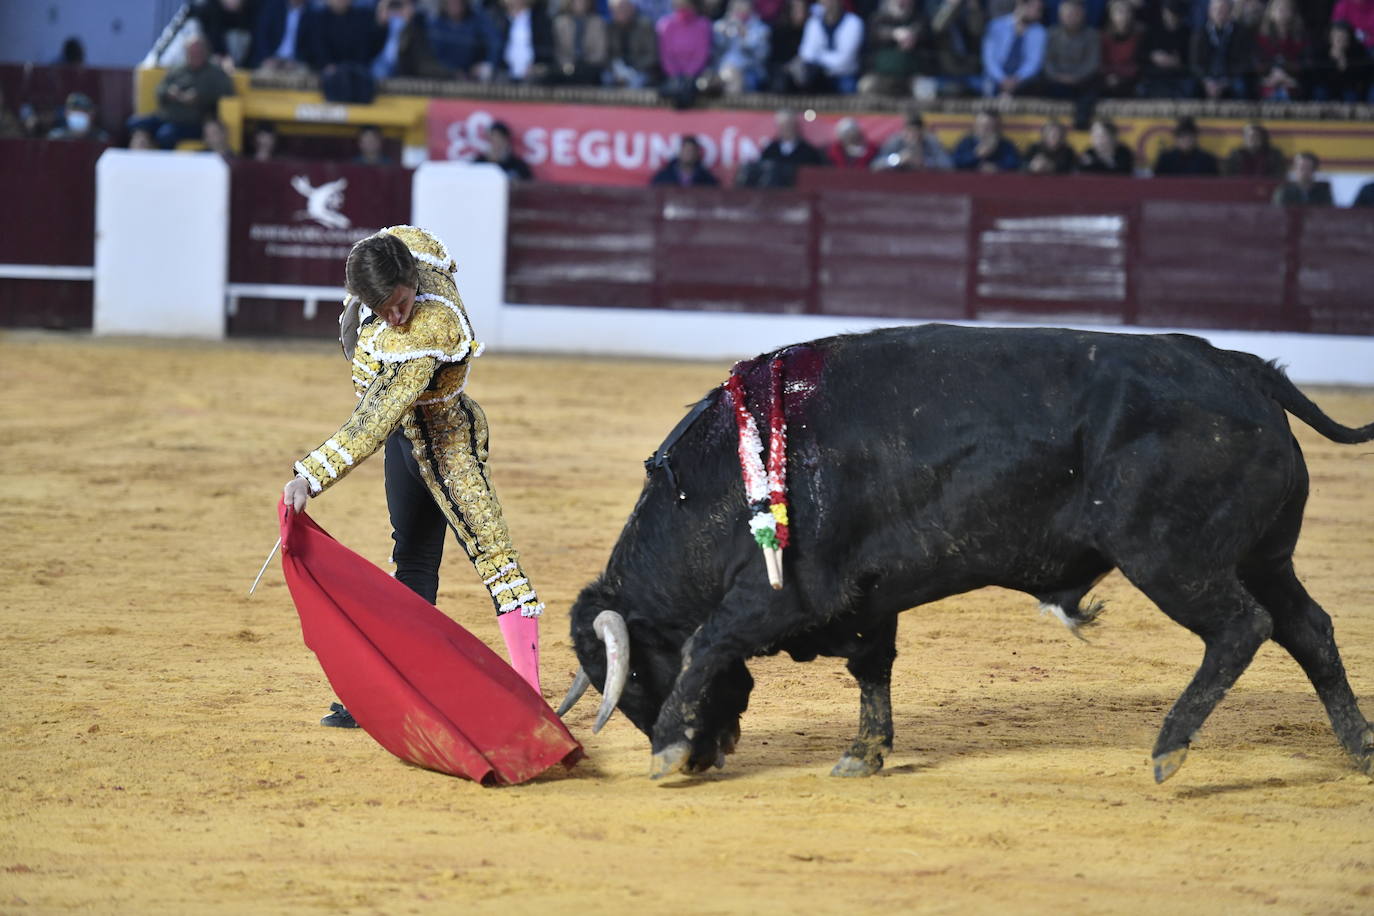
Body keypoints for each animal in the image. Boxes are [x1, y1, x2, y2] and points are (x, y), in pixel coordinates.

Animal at [555, 325, 1374, 785]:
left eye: (633, 685)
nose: (706, 756)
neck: (722, 479)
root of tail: (1240, 367)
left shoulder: (782, 594)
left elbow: (708, 640)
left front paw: (665, 752)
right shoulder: (867, 597)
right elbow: (872, 669)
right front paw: (863, 754)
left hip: (1171, 558)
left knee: (1241, 629)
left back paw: (1169, 749)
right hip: (1264, 555)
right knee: (1309, 630)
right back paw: (1360, 749)